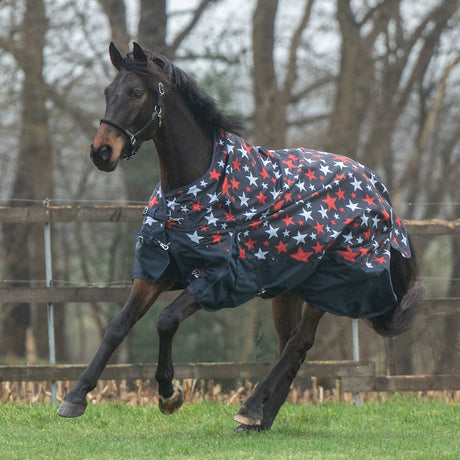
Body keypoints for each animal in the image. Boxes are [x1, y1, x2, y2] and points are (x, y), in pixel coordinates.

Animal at [57, 42, 424, 432]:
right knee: (290, 345)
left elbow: (166, 320)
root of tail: (379, 190)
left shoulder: (218, 279)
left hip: (330, 286)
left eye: (137, 93)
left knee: (299, 343)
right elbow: (118, 326)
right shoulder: (159, 269)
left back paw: (249, 409)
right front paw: (75, 397)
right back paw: (260, 418)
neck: (196, 190)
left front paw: (169, 395)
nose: (101, 152)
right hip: (289, 288)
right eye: (107, 92)